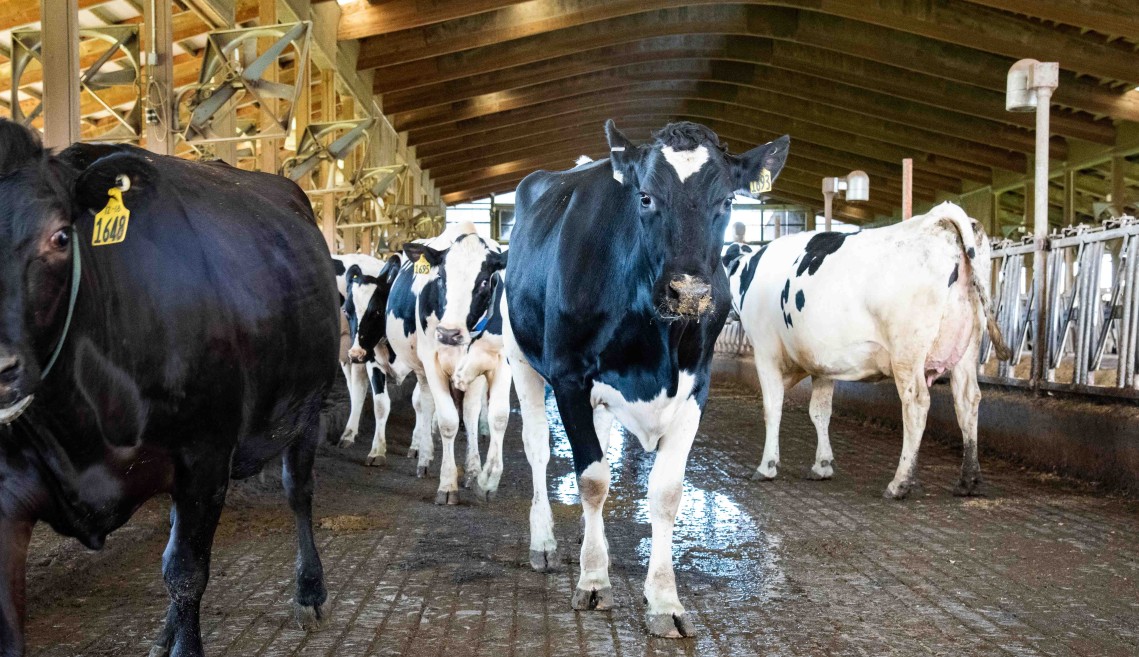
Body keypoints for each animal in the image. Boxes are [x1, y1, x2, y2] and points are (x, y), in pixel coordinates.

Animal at [0, 120, 339, 657]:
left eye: (60, 236)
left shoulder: (204, 458)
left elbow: (185, 573)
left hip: (307, 405)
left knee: (298, 491)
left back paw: (309, 591)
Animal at [386, 227, 510, 505]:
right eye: (441, 277)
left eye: (484, 281)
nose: (449, 333)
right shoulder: (432, 363)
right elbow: (447, 422)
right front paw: (447, 484)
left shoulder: (500, 362)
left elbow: (497, 417)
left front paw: (486, 480)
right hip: (421, 368)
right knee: (425, 403)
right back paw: (424, 456)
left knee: (471, 411)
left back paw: (472, 470)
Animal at [502, 120, 789, 637]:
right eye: (646, 197)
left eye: (727, 201)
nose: (689, 292)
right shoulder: (570, 377)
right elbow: (593, 479)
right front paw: (594, 581)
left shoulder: (696, 387)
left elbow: (666, 492)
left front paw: (664, 601)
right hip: (520, 357)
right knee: (537, 448)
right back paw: (546, 544)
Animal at [722, 201, 1012, 499]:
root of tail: (937, 219)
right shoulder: (822, 363)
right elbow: (820, 412)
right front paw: (822, 465)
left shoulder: (765, 351)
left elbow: (772, 408)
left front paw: (767, 466)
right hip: (968, 348)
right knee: (967, 400)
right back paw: (968, 480)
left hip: (906, 354)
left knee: (916, 404)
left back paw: (899, 483)